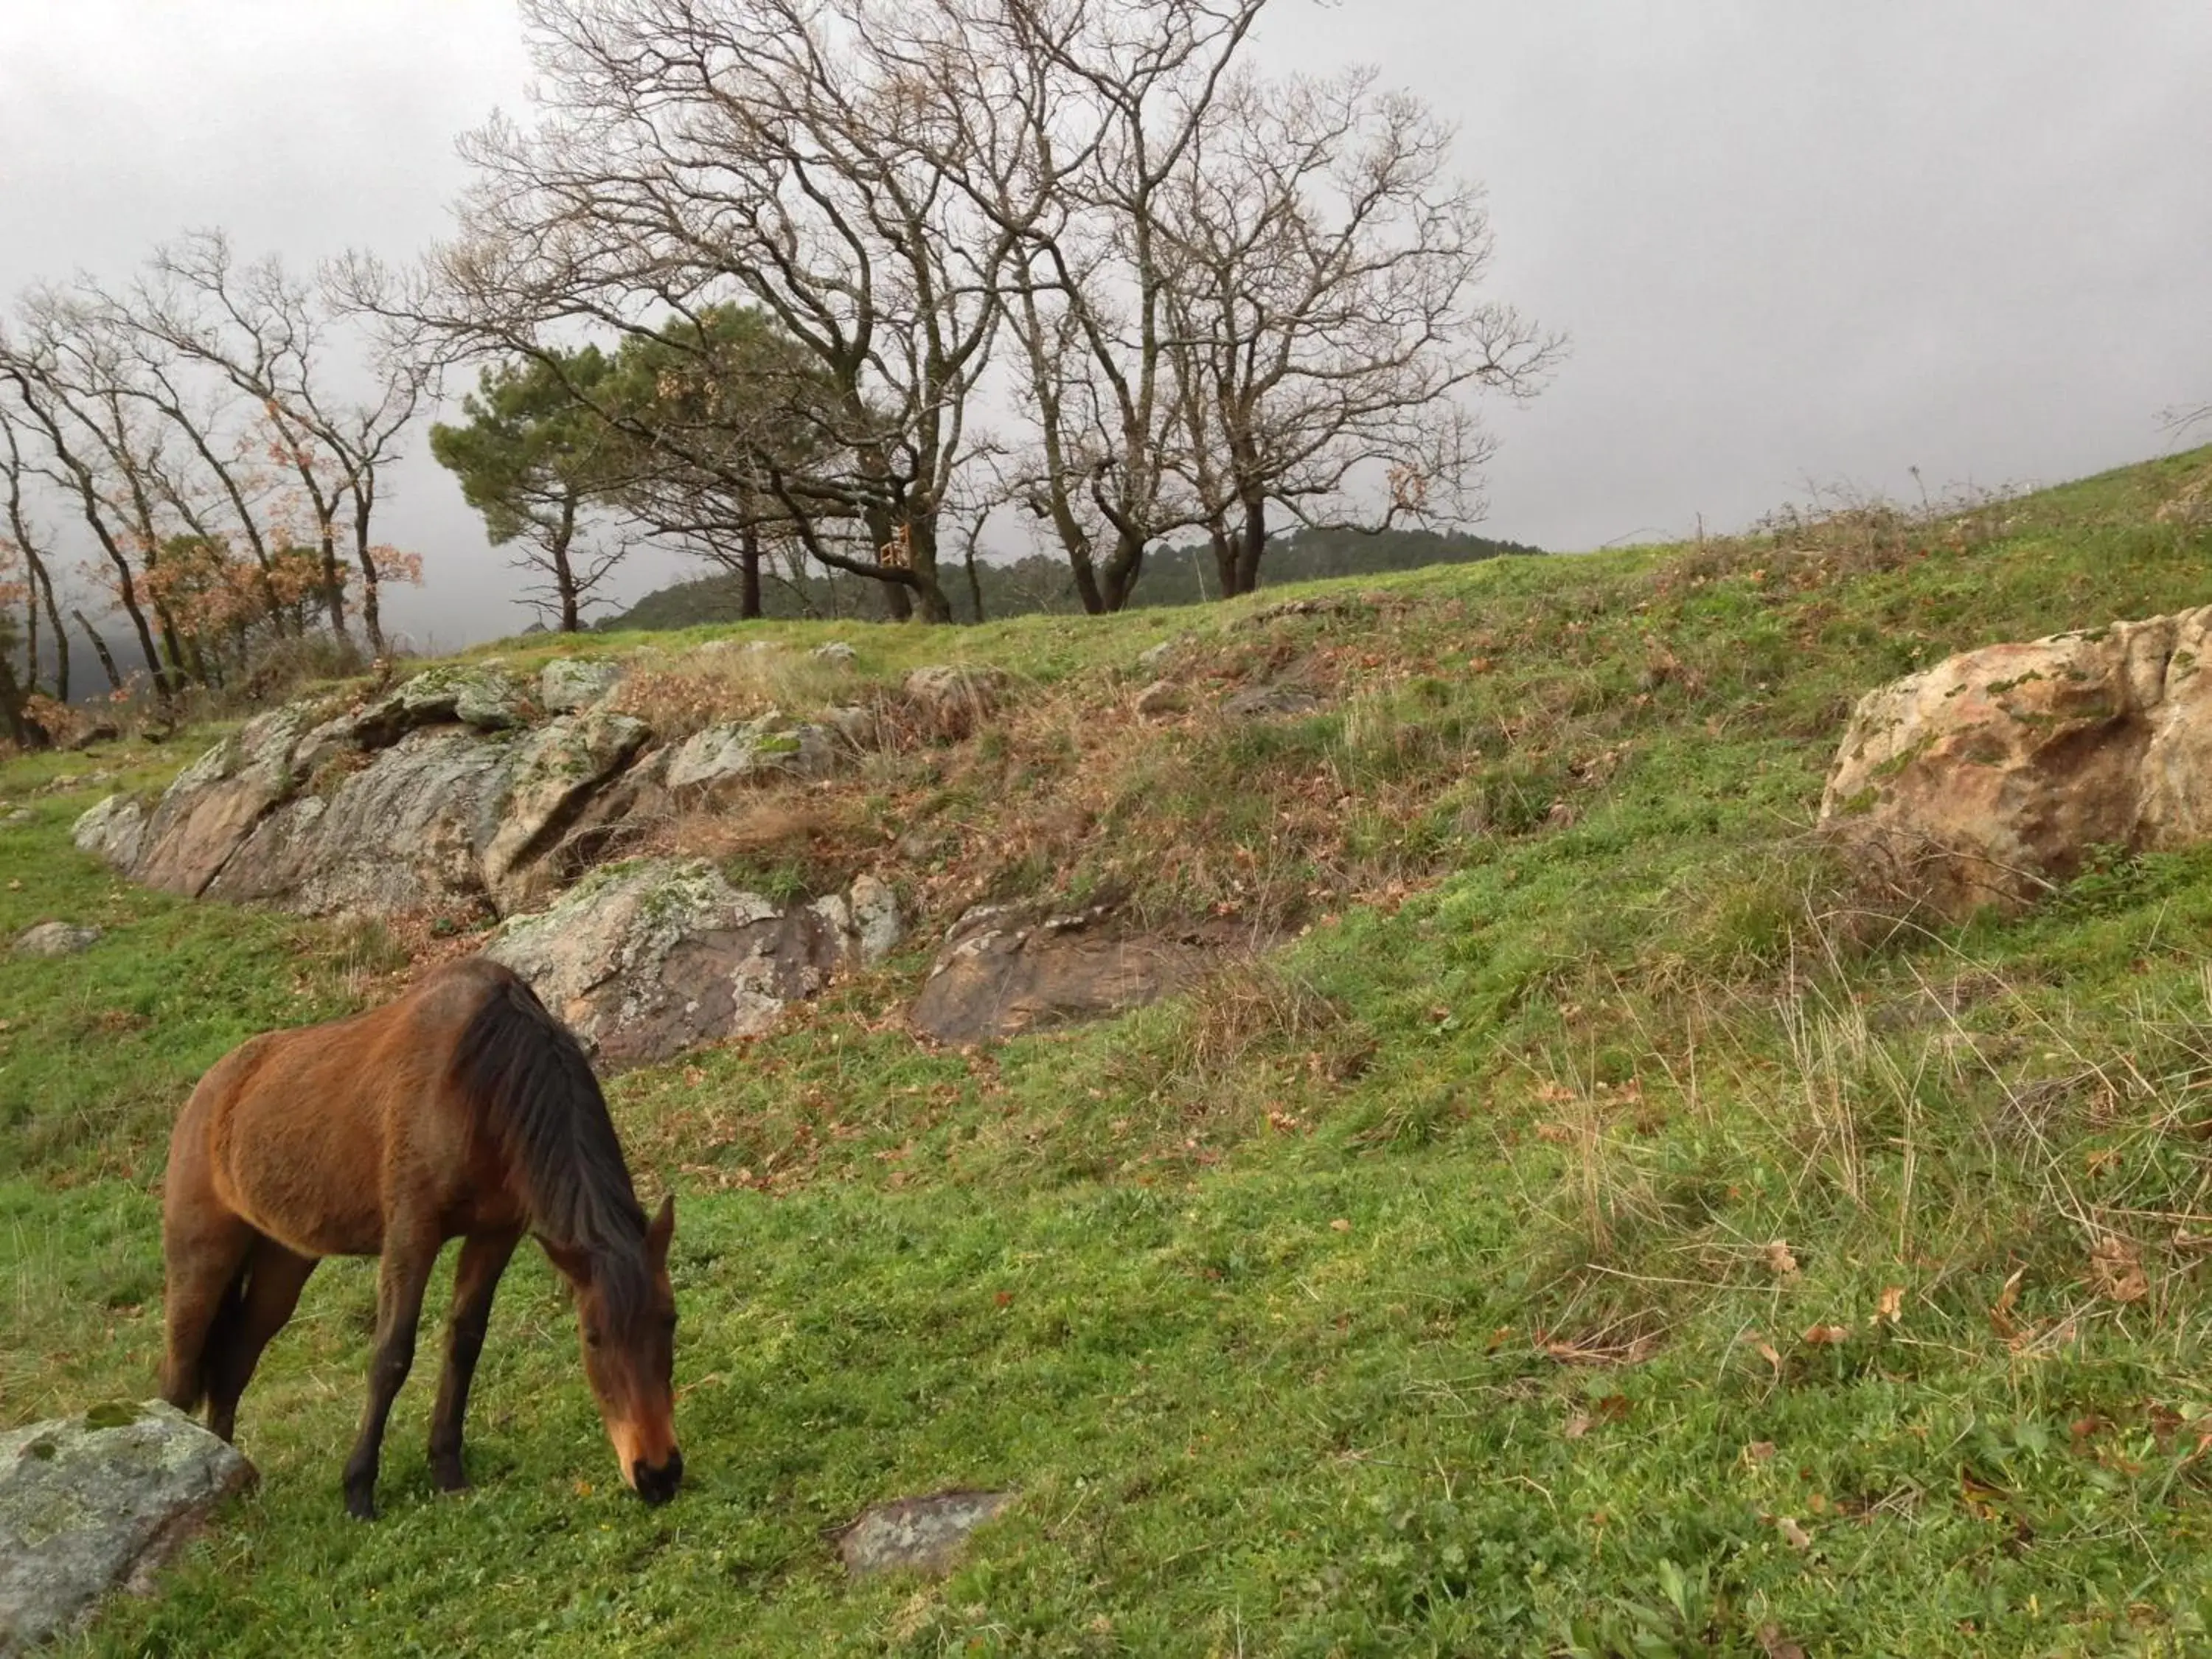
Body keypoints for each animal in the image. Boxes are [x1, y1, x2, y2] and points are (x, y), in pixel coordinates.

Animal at [158, 960, 681, 1522]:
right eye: (593, 1336)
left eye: (670, 1320)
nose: (658, 1474)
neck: (478, 1082)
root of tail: (207, 1092)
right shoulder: (412, 1231)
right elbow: (392, 1354)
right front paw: (359, 1489)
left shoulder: (496, 1233)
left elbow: (464, 1342)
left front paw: (447, 1469)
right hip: (200, 1265)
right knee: (176, 1384)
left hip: (283, 1265)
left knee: (233, 1364)